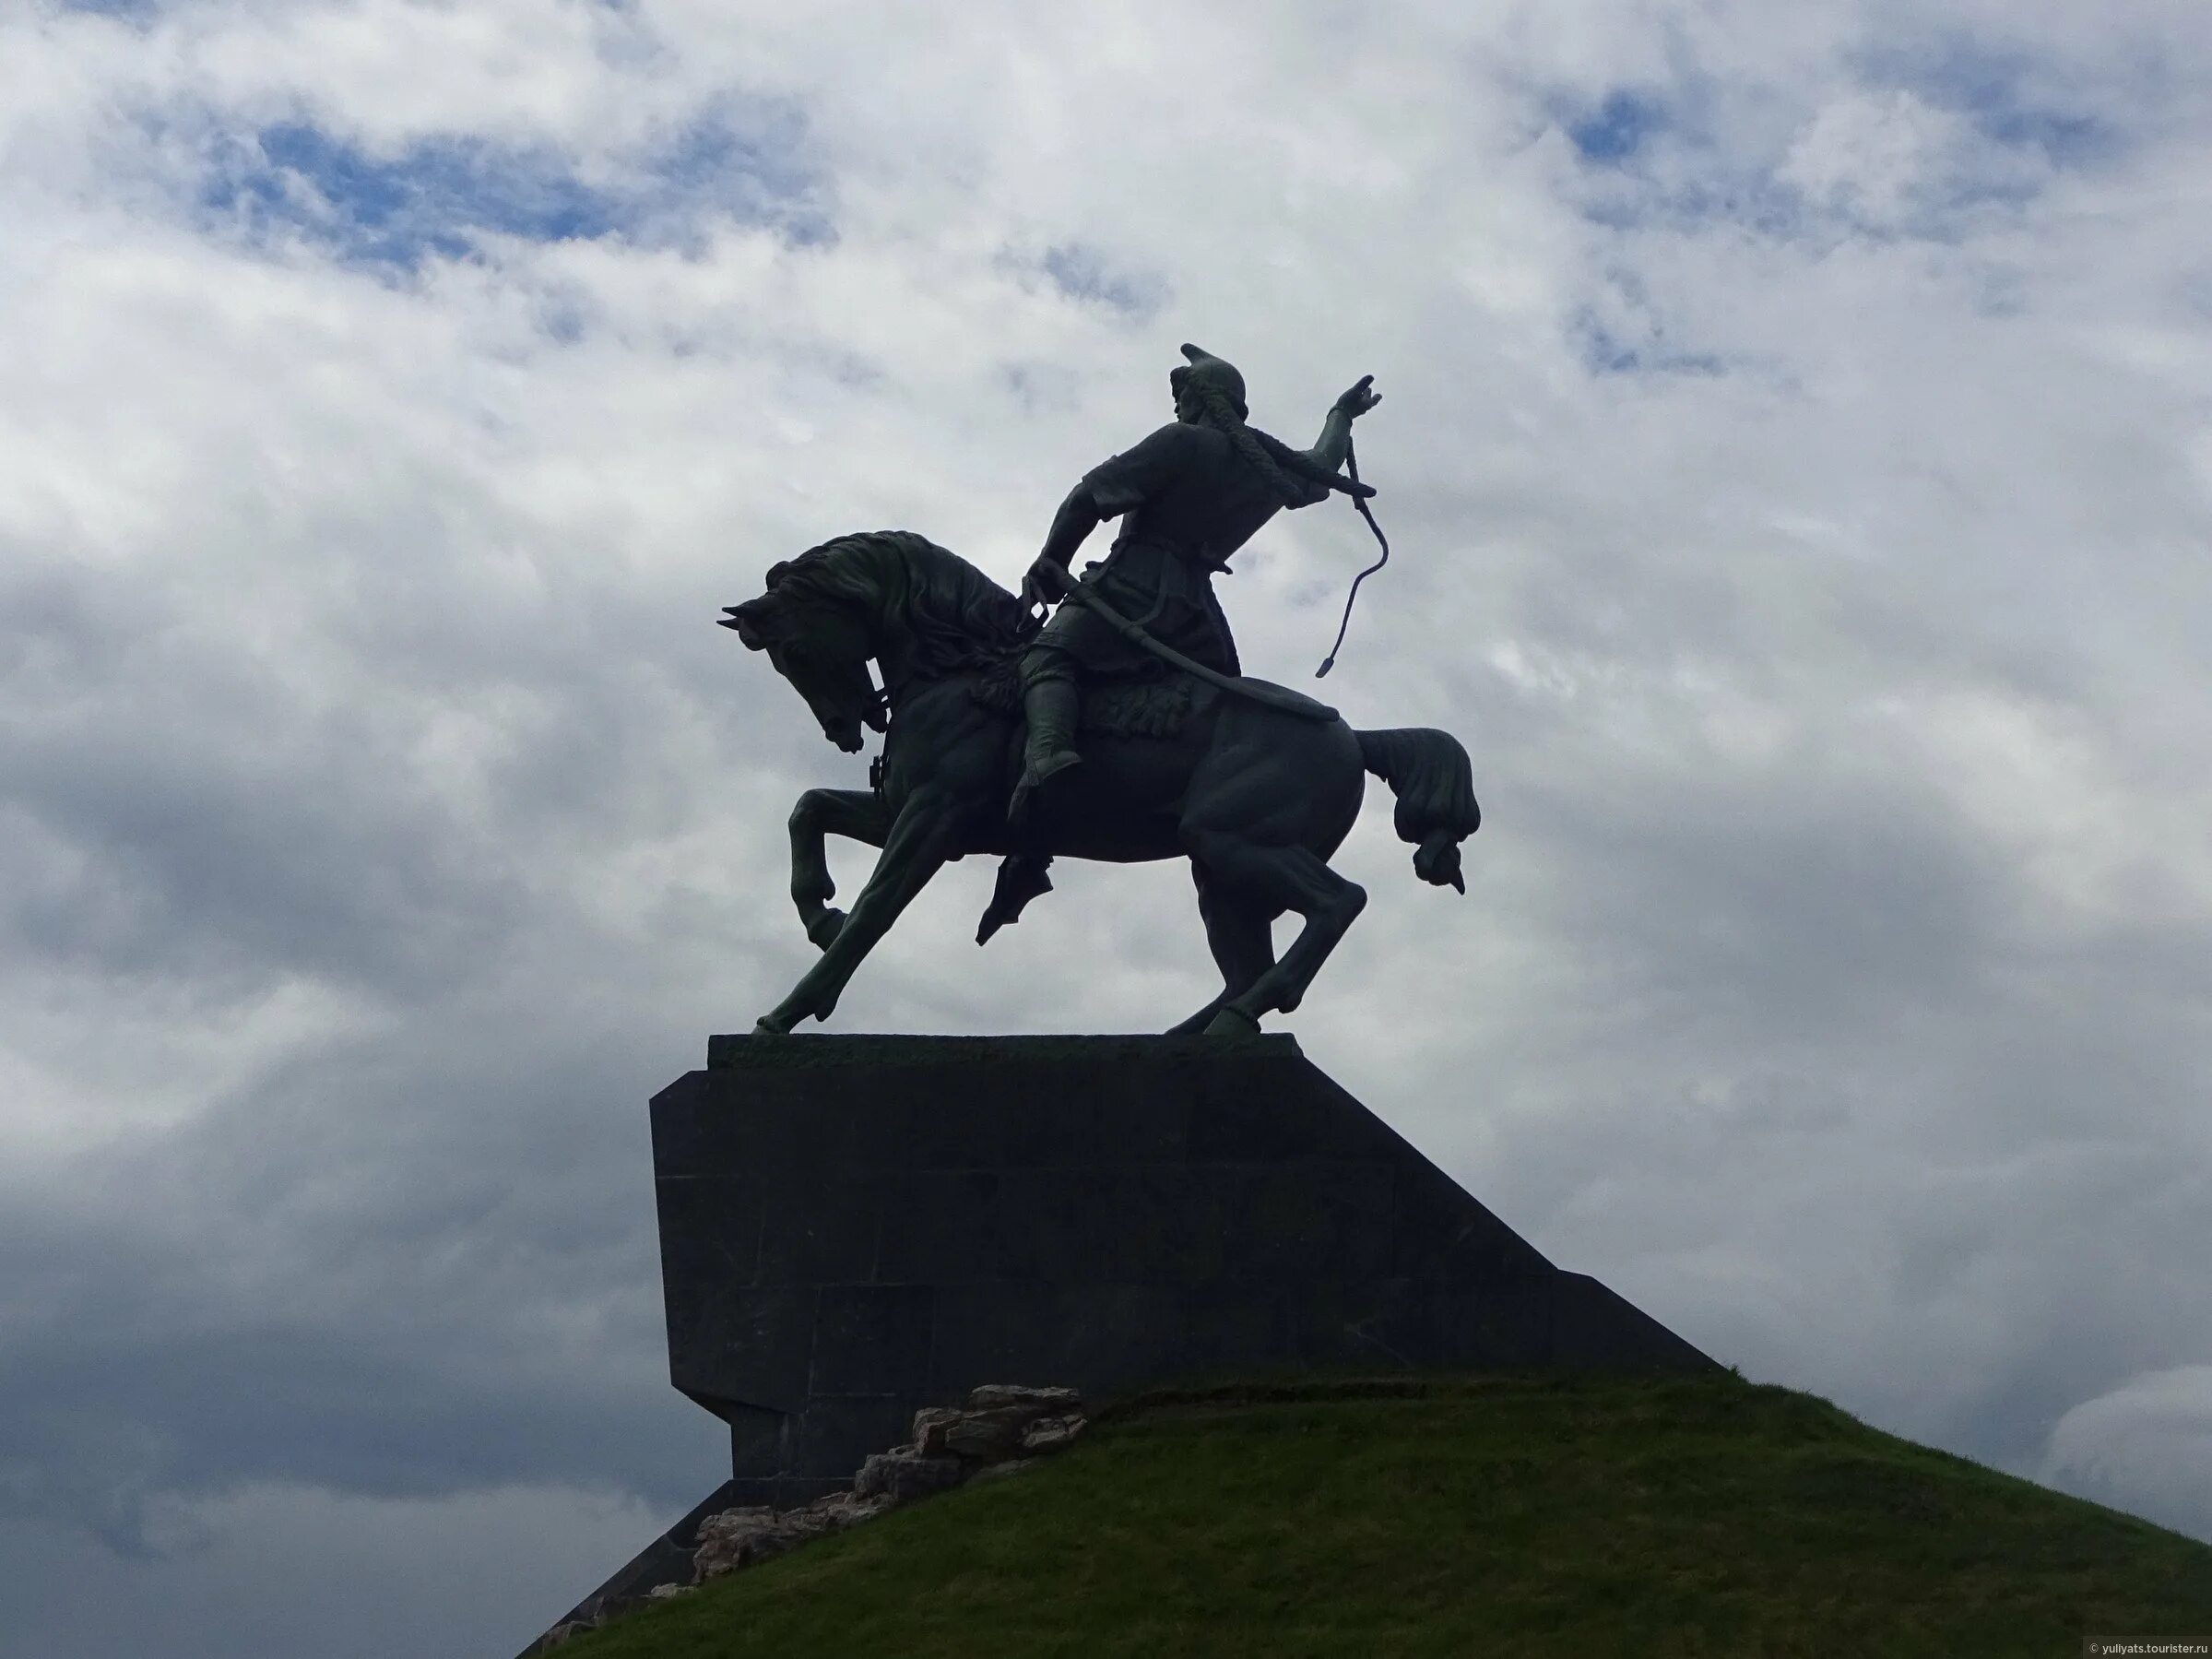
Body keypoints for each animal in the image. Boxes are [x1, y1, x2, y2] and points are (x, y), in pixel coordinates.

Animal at [725, 533, 1477, 1039]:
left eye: (794, 650)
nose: (846, 730)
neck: (957, 669)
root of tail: (1355, 735)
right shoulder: (912, 812)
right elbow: (809, 809)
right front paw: (817, 911)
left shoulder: (934, 817)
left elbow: (876, 908)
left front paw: (788, 1010)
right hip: (1221, 875)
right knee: (1246, 965)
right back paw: (1195, 1035)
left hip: (1233, 843)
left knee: (1338, 903)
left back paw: (1242, 1015)